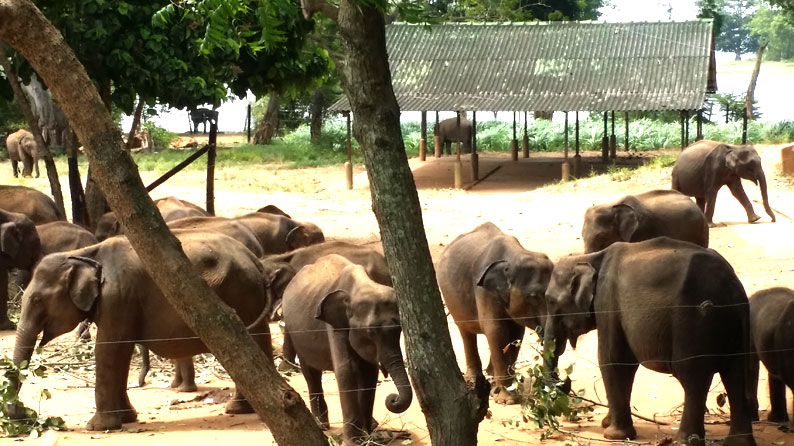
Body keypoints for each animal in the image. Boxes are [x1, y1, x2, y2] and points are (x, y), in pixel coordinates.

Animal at [10, 230, 272, 428]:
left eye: (36, 300)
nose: (23, 414)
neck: (83, 253)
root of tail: (255, 260)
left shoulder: (118, 297)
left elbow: (108, 350)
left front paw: (98, 427)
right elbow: (121, 352)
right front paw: (128, 418)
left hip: (242, 292)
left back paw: (238, 409)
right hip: (249, 295)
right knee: (259, 339)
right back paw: (242, 409)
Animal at [282, 253, 412, 444]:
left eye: (400, 329)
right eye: (370, 332)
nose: (392, 399)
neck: (362, 285)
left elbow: (368, 373)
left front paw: (369, 435)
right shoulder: (336, 325)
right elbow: (347, 371)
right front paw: (354, 441)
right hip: (295, 334)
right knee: (311, 373)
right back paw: (322, 425)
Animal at [436, 222, 552, 404]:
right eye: (533, 296)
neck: (514, 255)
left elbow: (515, 335)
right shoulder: (484, 292)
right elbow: (496, 331)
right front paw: (507, 400)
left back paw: (491, 375)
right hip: (451, 299)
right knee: (466, 332)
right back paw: (475, 379)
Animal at [540, 237, 752, 446]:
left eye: (550, 301)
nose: (564, 380)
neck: (591, 258)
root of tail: (732, 287)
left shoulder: (608, 302)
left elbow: (612, 360)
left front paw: (613, 435)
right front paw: (607, 424)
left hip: (694, 322)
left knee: (694, 378)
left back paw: (684, 441)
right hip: (736, 326)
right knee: (736, 376)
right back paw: (738, 442)